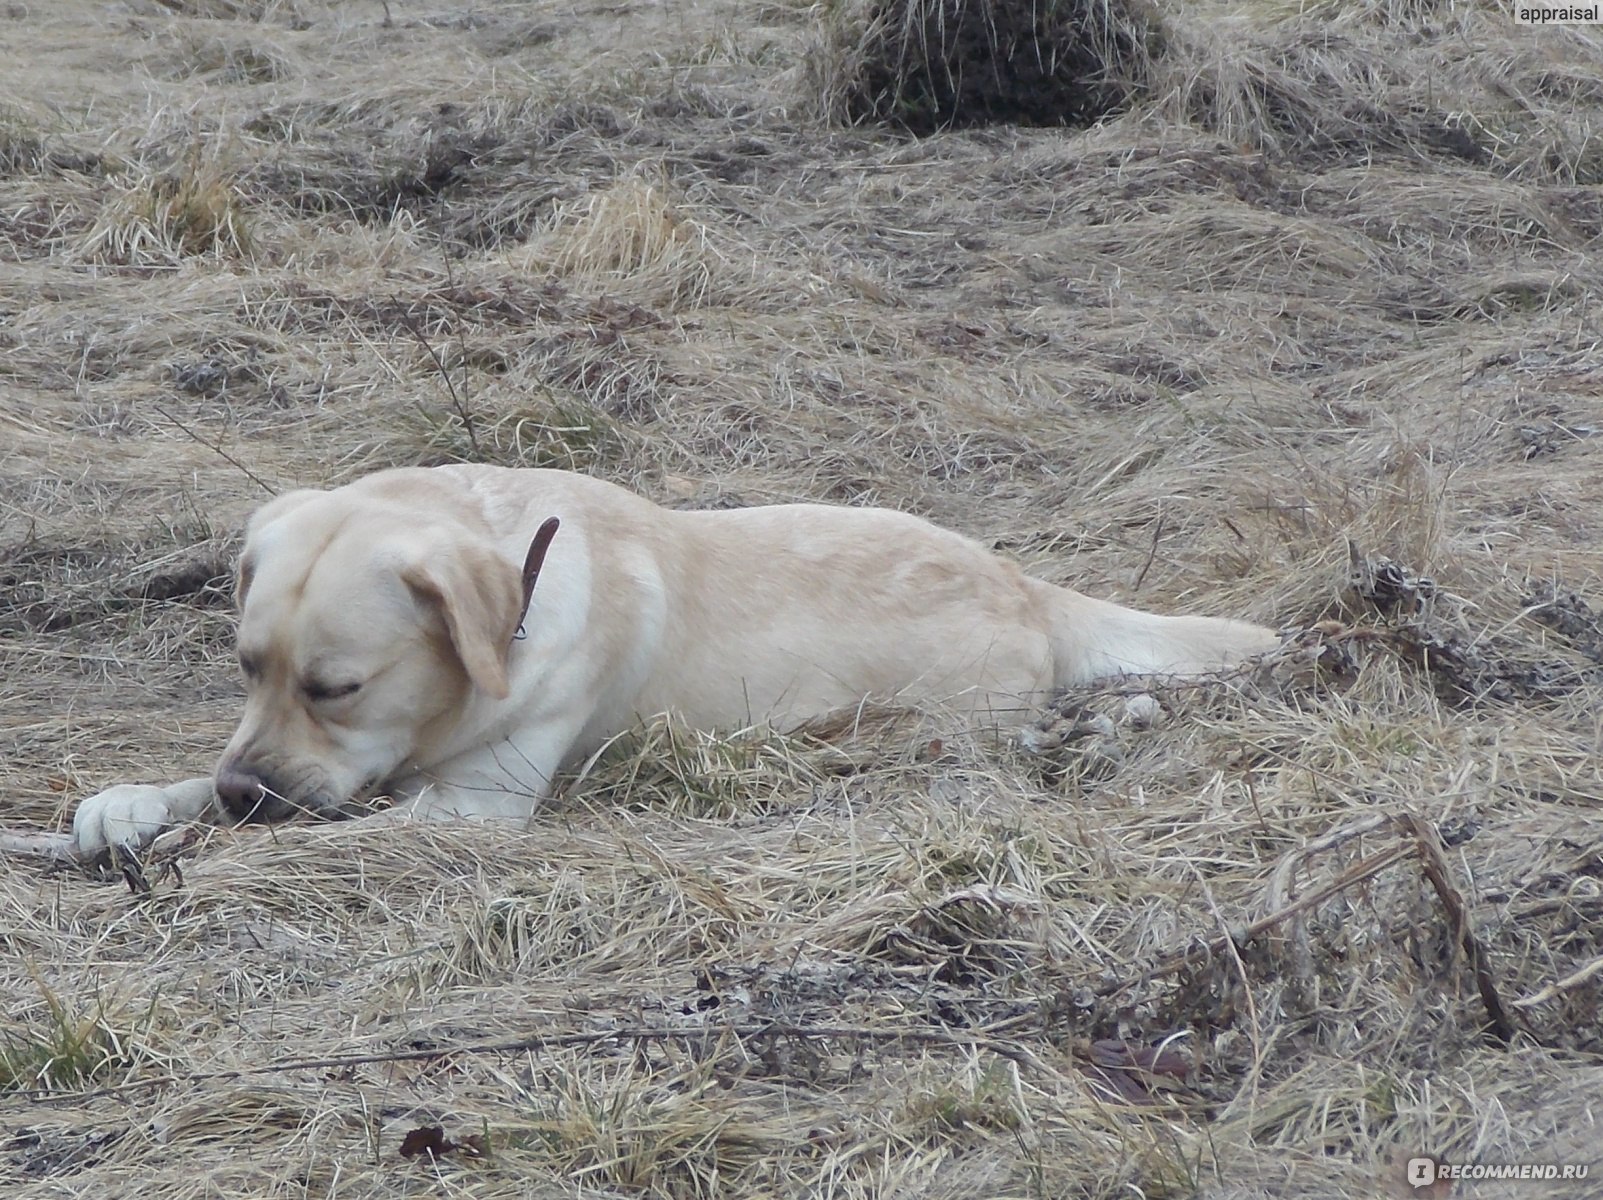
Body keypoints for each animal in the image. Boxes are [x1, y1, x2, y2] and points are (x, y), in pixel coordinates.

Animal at [72, 464, 1275, 858]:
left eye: (340, 688)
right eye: (246, 666)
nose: (241, 788)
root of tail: (1023, 581)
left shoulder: (472, 806)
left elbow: (331, 818)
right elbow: (196, 788)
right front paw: (140, 804)